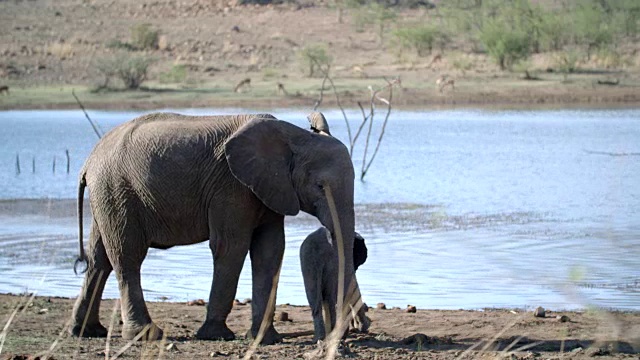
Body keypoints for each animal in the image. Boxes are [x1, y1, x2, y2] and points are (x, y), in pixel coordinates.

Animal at [74, 113, 360, 346]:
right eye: (320, 187)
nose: (338, 335)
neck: (294, 135)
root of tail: (88, 162)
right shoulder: (232, 187)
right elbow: (231, 247)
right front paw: (216, 335)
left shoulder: (269, 190)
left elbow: (270, 251)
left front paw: (265, 339)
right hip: (118, 189)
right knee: (127, 257)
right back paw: (145, 335)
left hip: (108, 193)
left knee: (99, 259)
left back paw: (87, 331)